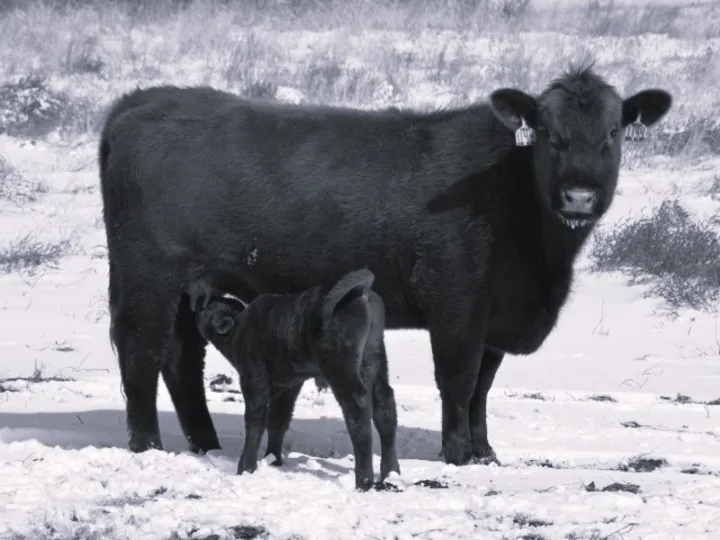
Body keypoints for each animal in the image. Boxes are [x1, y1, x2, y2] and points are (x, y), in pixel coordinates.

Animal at [98, 62, 672, 467]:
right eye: (549, 133)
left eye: (614, 132)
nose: (579, 195)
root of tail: (142, 100)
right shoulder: (457, 304)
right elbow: (459, 380)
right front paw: (458, 452)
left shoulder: (496, 317)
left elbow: (484, 387)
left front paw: (485, 450)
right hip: (149, 276)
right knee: (143, 352)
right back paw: (148, 443)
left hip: (186, 286)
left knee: (181, 357)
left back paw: (207, 443)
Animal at [193, 268, 400, 491]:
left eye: (208, 309)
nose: (198, 303)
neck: (240, 327)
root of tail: (360, 290)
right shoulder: (289, 386)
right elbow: (278, 421)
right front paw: (273, 460)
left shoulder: (253, 379)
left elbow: (255, 420)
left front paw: (246, 468)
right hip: (374, 360)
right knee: (384, 404)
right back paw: (391, 475)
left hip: (341, 368)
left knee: (357, 406)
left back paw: (363, 481)